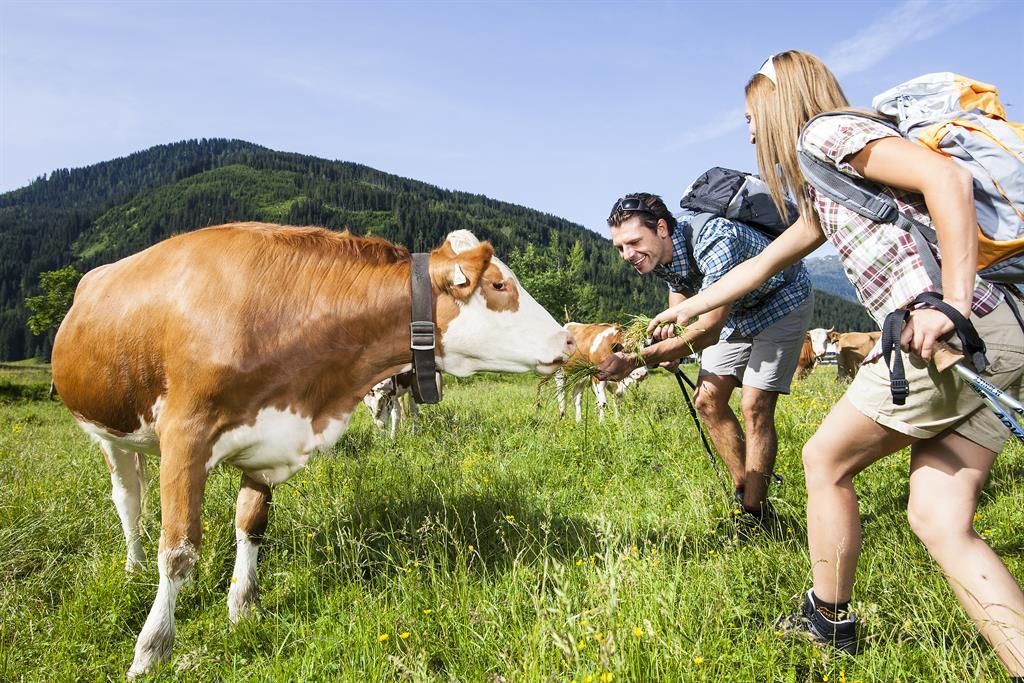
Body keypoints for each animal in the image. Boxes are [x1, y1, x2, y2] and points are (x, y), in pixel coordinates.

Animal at [50, 222, 575, 677]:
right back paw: (133, 567)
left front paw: (243, 608)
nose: (569, 338)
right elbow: (178, 549)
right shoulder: (185, 437)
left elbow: (251, 526)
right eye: (500, 285)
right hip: (108, 433)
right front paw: (152, 647)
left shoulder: (270, 441)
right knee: (129, 503)